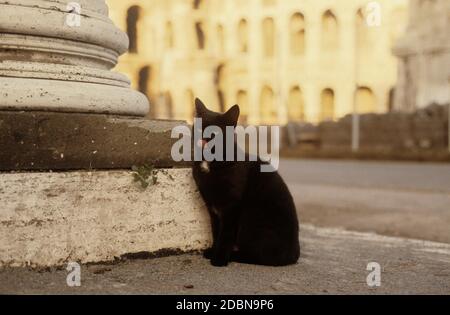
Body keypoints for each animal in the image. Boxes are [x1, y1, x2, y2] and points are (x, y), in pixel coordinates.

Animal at [192, 98, 300, 266]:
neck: (209, 164)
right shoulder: (212, 208)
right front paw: (213, 251)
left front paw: (219, 258)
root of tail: (294, 254)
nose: (203, 139)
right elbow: (216, 231)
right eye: (198, 128)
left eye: (215, 132)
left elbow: (226, 234)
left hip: (250, 219)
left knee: (261, 256)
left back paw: (234, 256)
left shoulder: (232, 207)